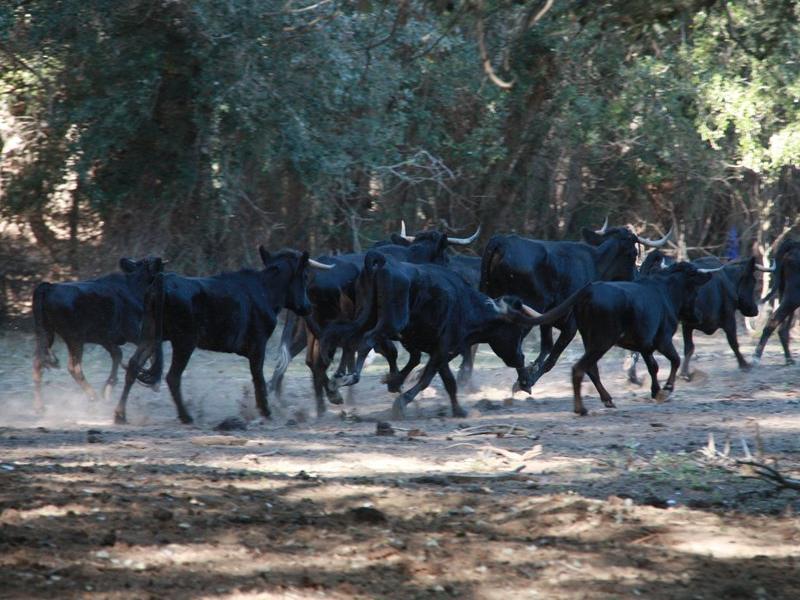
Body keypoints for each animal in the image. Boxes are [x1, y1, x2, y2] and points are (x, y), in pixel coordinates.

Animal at [114, 246, 332, 424]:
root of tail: (162, 281)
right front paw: (266, 411)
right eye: (305, 275)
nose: (307, 307)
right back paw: (185, 416)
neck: (265, 290)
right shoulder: (258, 345)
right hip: (184, 342)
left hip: (150, 335)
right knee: (172, 377)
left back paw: (120, 415)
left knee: (133, 366)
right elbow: (259, 378)